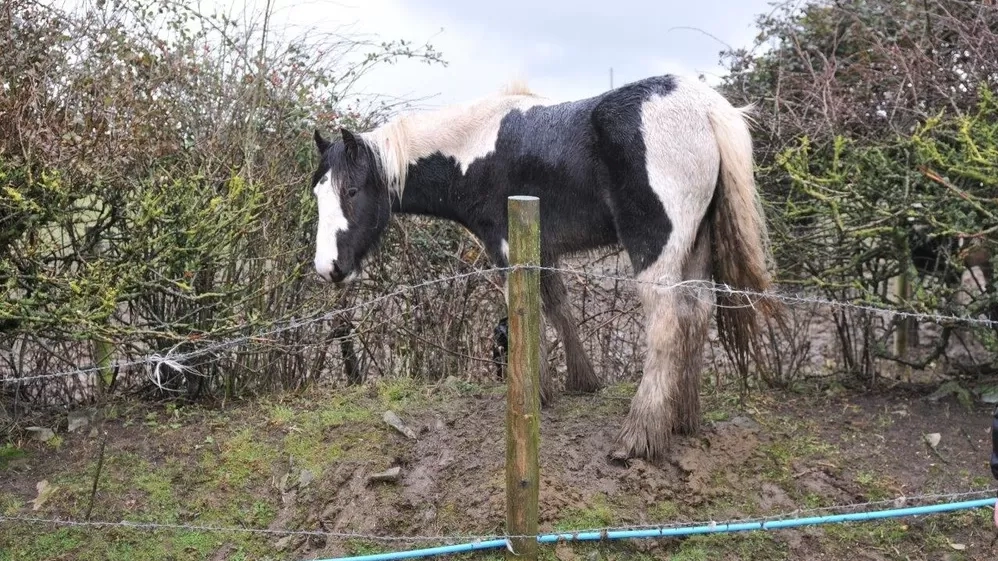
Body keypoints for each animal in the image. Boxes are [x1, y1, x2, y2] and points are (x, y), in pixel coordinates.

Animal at [308, 73, 784, 460]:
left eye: (351, 190)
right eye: (318, 192)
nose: (328, 267)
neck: (473, 150)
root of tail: (705, 107)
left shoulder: (506, 250)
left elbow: (528, 314)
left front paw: (533, 394)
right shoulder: (543, 248)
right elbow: (558, 307)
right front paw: (580, 382)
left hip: (656, 251)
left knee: (668, 322)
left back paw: (639, 436)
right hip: (697, 247)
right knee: (697, 310)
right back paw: (682, 419)